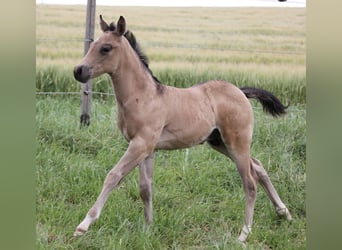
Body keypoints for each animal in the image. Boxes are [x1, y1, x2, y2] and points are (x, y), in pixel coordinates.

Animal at [72, 14, 292, 241]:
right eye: (92, 44)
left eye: (106, 48)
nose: (78, 71)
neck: (144, 96)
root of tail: (240, 91)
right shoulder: (147, 149)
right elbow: (145, 188)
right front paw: (148, 228)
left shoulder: (140, 144)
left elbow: (113, 176)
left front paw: (83, 225)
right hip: (220, 142)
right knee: (258, 165)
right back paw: (284, 212)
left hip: (237, 142)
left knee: (250, 182)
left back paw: (243, 234)